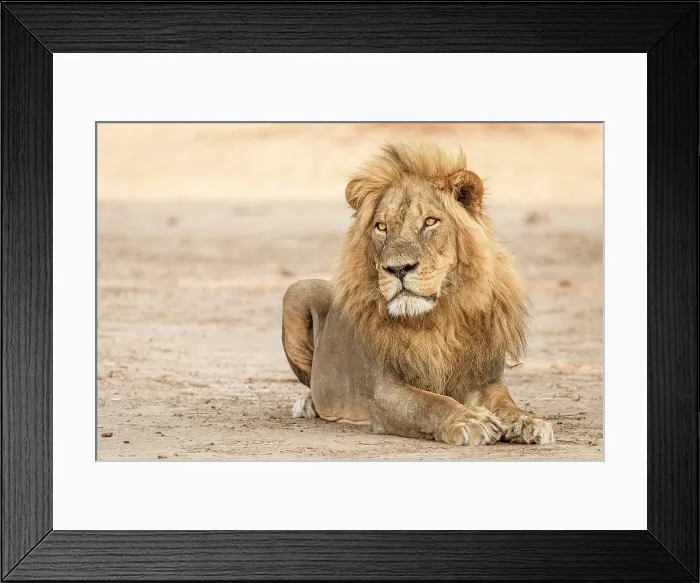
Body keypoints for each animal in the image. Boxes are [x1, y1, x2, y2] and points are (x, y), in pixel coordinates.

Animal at [281, 142, 554, 445]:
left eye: (430, 222)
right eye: (381, 226)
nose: (398, 269)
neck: (441, 319)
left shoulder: (485, 378)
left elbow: (505, 403)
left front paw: (527, 421)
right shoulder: (384, 390)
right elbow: (431, 403)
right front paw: (469, 420)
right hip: (297, 291)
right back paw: (307, 403)